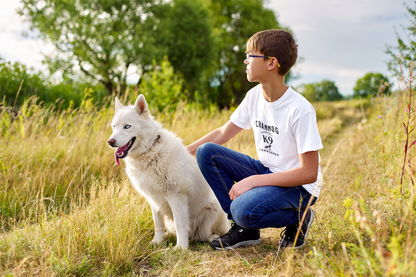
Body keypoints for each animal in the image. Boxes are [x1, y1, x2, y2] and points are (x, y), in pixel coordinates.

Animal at [107, 95, 231, 248]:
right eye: (114, 127)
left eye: (127, 126)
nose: (110, 141)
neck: (150, 152)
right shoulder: (152, 199)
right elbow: (158, 224)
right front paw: (157, 241)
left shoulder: (176, 196)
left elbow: (180, 224)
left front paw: (181, 247)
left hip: (214, 209)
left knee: (208, 234)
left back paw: (213, 238)